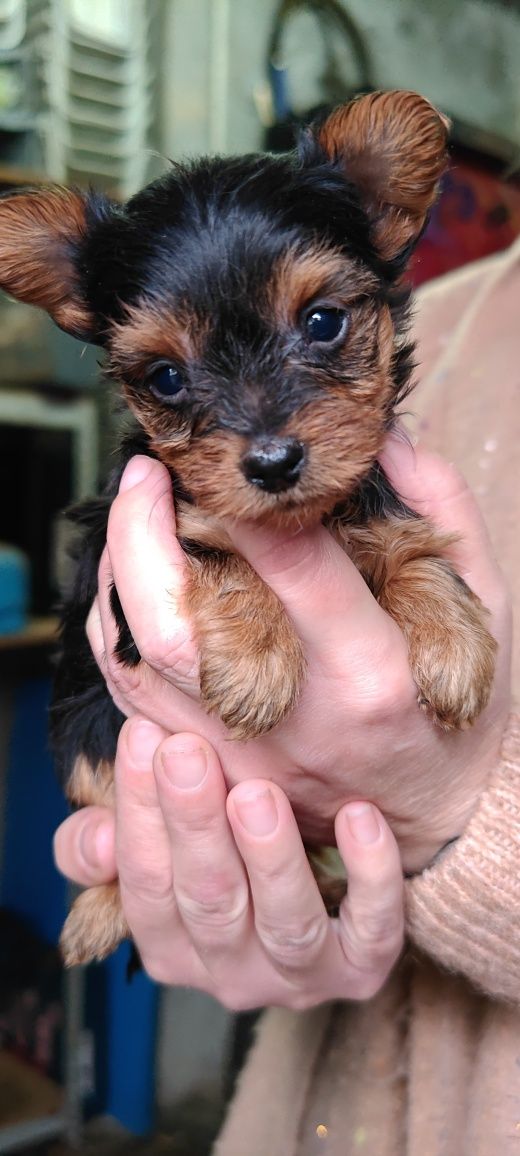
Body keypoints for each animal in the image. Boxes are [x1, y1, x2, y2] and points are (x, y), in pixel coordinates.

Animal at [0, 90, 494, 961]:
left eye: (324, 322)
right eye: (166, 377)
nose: (270, 462)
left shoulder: (378, 496)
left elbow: (412, 544)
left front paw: (455, 641)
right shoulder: (130, 557)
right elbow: (217, 546)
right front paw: (259, 662)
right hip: (90, 740)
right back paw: (98, 915)